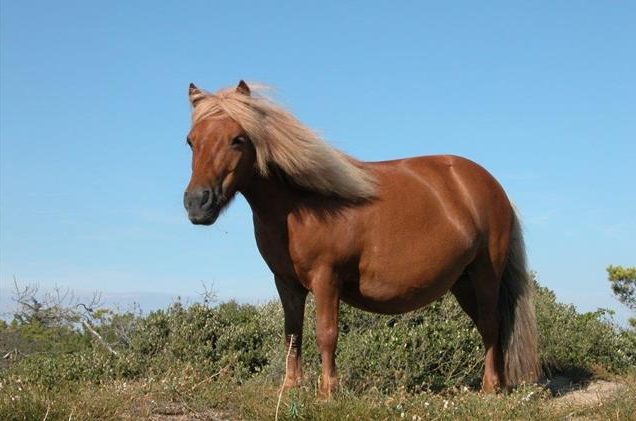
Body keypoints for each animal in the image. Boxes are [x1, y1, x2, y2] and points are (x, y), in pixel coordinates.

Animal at [181, 79, 540, 398]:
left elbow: (326, 334)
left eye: (237, 139)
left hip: (484, 274)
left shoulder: (326, 279)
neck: (301, 205)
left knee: (492, 324)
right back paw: (498, 384)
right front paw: (290, 388)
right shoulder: (287, 283)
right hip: (462, 281)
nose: (197, 203)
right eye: (191, 141)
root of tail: (491, 186)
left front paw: (328, 391)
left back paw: (491, 389)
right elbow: (292, 334)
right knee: (488, 327)